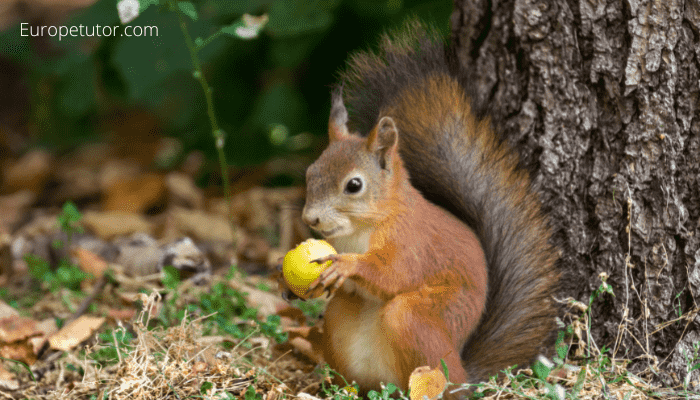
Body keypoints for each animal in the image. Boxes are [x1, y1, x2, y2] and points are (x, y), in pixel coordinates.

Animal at [295, 20, 560, 398]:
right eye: (310, 173)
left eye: (354, 185)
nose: (310, 218)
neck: (364, 228)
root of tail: (467, 373)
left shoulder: (411, 242)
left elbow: (393, 274)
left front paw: (348, 265)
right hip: (341, 320)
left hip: (417, 320)